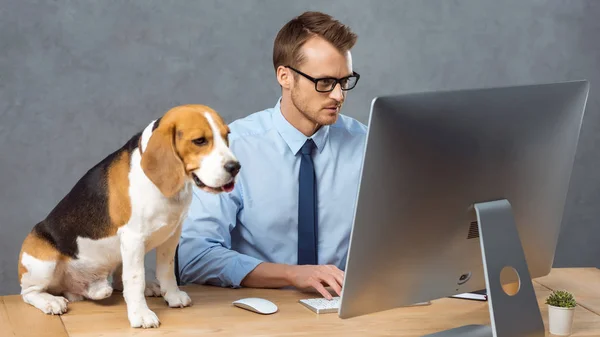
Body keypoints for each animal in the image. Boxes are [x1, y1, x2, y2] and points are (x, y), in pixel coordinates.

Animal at [15, 104, 239, 326]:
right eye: (199, 141)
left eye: (227, 135)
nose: (235, 167)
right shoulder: (133, 238)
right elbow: (135, 278)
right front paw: (141, 314)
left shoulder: (172, 235)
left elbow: (166, 270)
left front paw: (173, 296)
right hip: (43, 263)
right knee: (28, 293)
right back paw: (50, 301)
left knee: (116, 282)